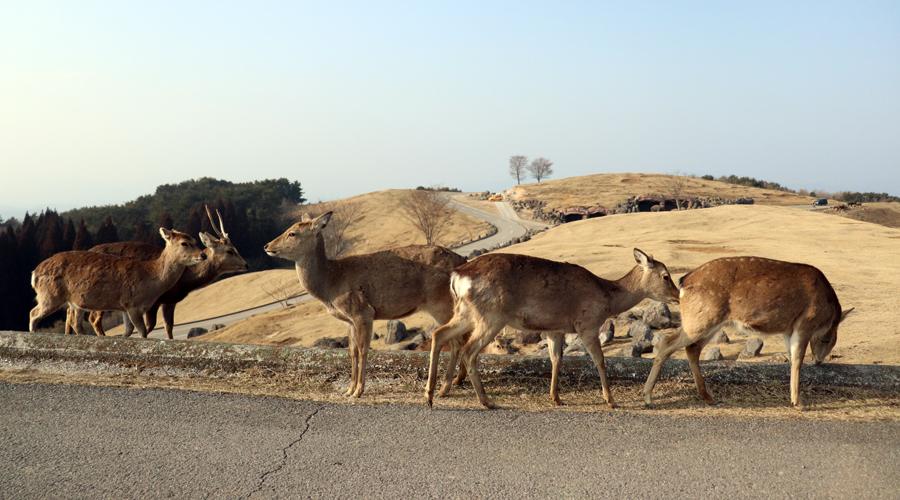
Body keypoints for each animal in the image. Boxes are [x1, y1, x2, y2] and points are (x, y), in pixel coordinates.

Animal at [30, 229, 205, 338]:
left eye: (195, 240)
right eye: (184, 243)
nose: (203, 255)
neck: (151, 281)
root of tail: (34, 274)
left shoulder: (124, 306)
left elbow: (129, 330)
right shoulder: (133, 303)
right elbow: (142, 331)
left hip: (75, 301)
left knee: (74, 322)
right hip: (50, 294)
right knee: (33, 313)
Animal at [63, 205, 248, 338]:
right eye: (230, 250)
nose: (246, 264)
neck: (185, 281)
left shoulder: (169, 300)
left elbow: (166, 326)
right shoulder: (155, 300)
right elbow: (151, 326)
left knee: (71, 313)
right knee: (92, 318)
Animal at [264, 212, 468, 398]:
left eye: (292, 233)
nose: (267, 246)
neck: (331, 282)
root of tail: (463, 261)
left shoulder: (362, 312)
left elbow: (363, 350)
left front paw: (358, 391)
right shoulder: (349, 320)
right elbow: (352, 351)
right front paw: (348, 390)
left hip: (441, 304)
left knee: (455, 341)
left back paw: (443, 388)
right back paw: (458, 380)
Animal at [426, 249, 680, 410]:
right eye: (665, 276)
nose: (678, 295)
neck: (607, 299)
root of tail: (457, 276)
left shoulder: (554, 329)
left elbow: (556, 359)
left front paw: (556, 397)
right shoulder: (587, 324)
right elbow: (599, 360)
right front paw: (611, 400)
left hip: (466, 312)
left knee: (439, 334)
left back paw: (431, 394)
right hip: (491, 316)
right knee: (469, 351)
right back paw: (486, 401)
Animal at [644, 258, 856, 410]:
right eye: (828, 339)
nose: (819, 361)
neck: (827, 312)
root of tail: (683, 281)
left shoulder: (788, 329)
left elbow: (791, 357)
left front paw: (793, 398)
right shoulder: (805, 323)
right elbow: (798, 360)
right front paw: (799, 403)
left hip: (707, 322)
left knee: (692, 348)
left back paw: (708, 397)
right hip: (700, 319)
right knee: (667, 342)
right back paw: (648, 398)